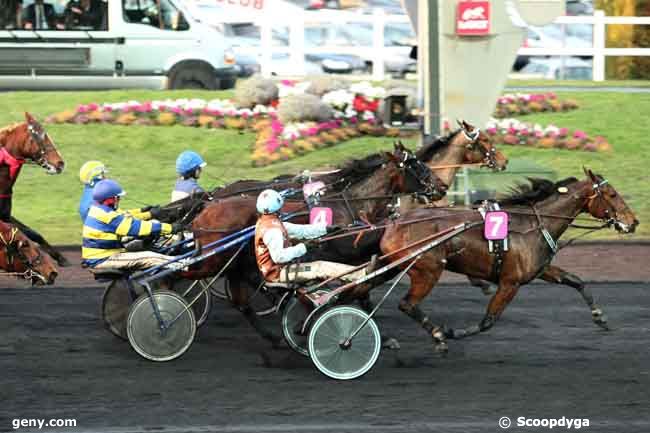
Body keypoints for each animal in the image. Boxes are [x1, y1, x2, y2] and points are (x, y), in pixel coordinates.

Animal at [378, 168, 636, 352]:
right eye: (612, 194)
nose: (633, 222)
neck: (533, 225)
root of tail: (395, 223)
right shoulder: (510, 283)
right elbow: (487, 321)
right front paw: (452, 332)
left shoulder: (540, 269)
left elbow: (576, 280)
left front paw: (600, 317)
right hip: (428, 270)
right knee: (407, 304)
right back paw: (437, 337)